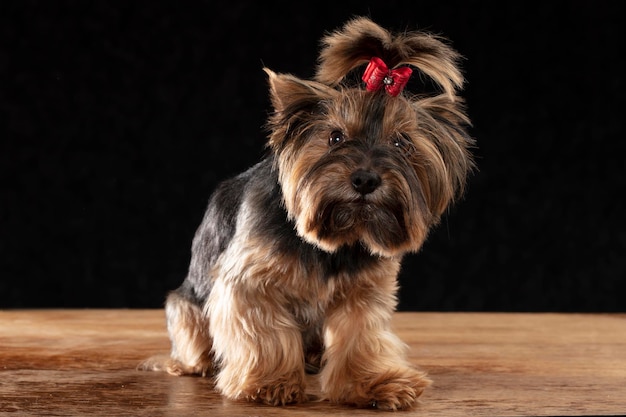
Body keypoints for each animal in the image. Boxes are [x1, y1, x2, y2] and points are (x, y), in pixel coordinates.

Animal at [139, 17, 472, 410]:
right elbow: (264, 331)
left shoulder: (364, 291)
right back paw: (192, 364)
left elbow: (360, 336)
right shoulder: (249, 282)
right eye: (335, 137)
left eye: (401, 142)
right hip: (184, 306)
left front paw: (373, 384)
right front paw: (269, 383)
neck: (333, 240)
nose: (365, 179)